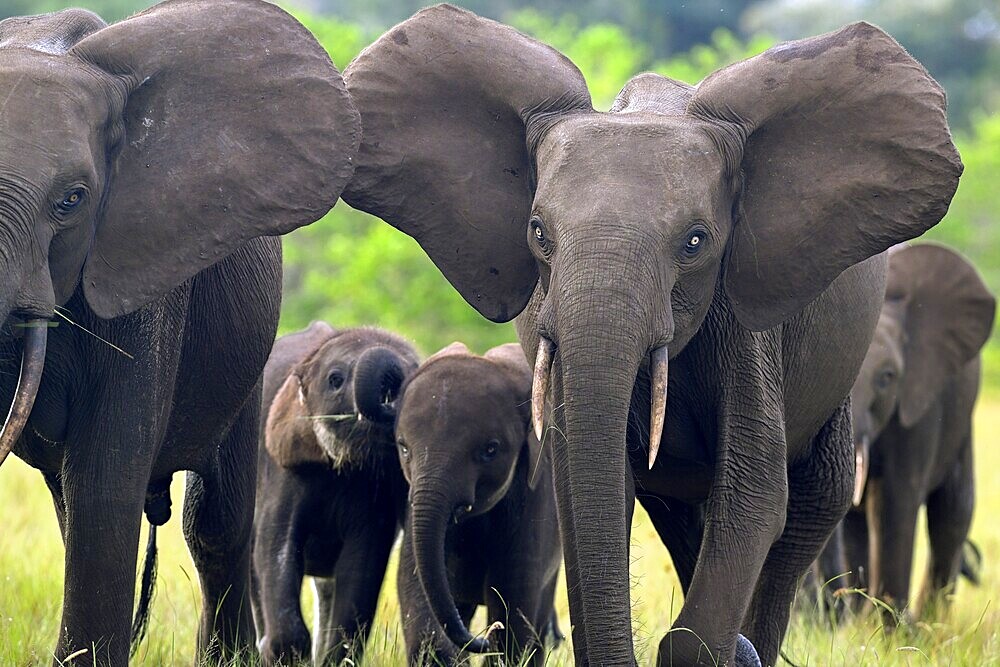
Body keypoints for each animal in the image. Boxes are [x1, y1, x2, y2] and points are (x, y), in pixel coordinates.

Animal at [254, 322, 422, 664]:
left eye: (415, 371)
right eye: (335, 379)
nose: (391, 392)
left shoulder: (375, 494)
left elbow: (360, 568)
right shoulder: (283, 470)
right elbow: (275, 548)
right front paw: (280, 654)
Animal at [392, 344, 564, 667]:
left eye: (490, 450)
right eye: (403, 448)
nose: (482, 639)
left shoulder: (534, 493)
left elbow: (512, 599)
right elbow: (415, 587)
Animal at [820, 244, 992, 620]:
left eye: (887, 377)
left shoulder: (919, 402)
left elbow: (893, 498)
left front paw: (894, 629)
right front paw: (864, 625)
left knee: (953, 513)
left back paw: (928, 624)